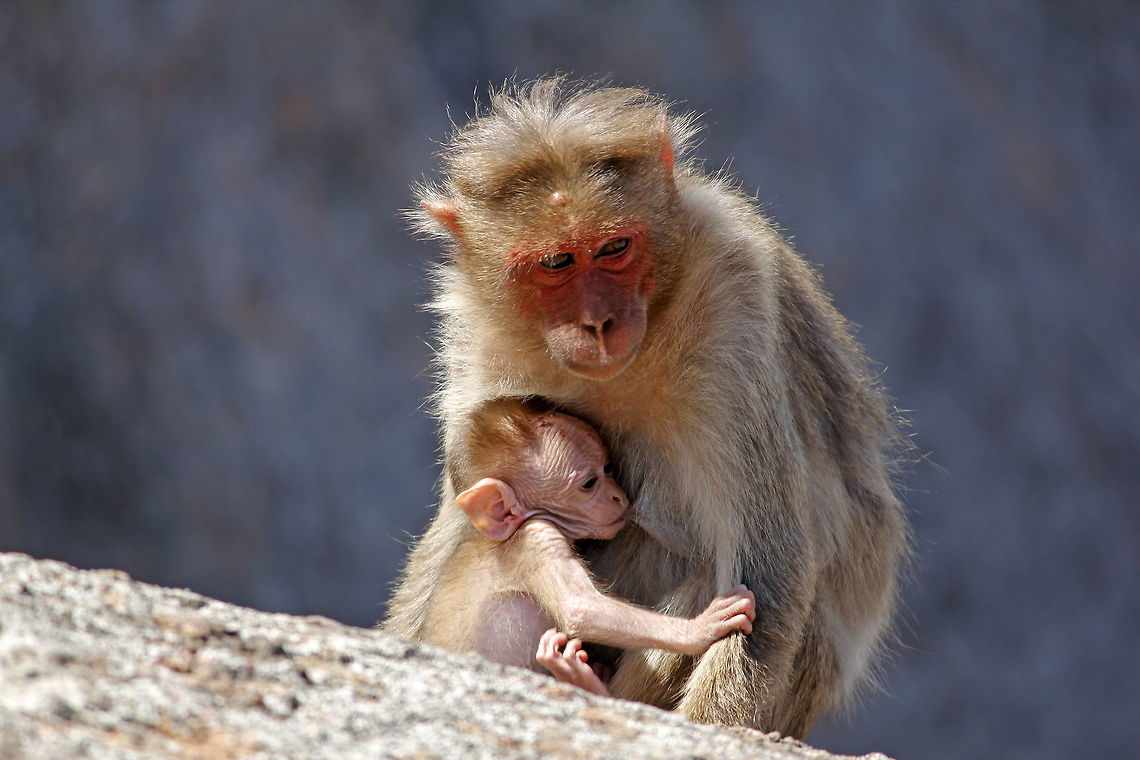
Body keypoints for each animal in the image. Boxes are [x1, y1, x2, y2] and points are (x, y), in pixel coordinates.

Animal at [420, 396, 757, 696]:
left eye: (608, 467)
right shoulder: (536, 537)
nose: (619, 497)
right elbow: (580, 609)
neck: (506, 532)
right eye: (589, 484)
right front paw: (700, 629)